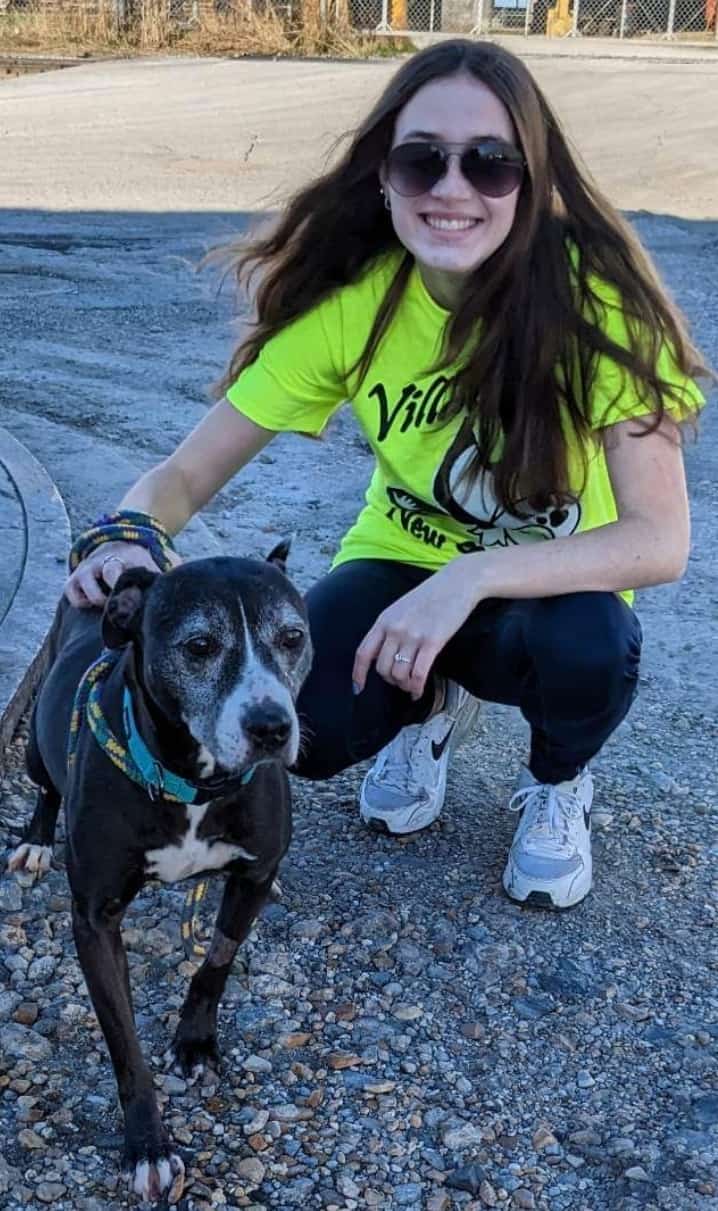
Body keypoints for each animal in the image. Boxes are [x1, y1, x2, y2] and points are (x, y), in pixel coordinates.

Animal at [6, 549, 309, 1201]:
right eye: (199, 646)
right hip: (38, 748)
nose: (272, 727)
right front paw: (147, 1145)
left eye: (293, 637)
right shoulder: (95, 922)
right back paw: (36, 841)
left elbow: (216, 964)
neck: (191, 782)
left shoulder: (248, 879)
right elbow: (124, 1043)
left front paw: (194, 1043)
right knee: (45, 787)